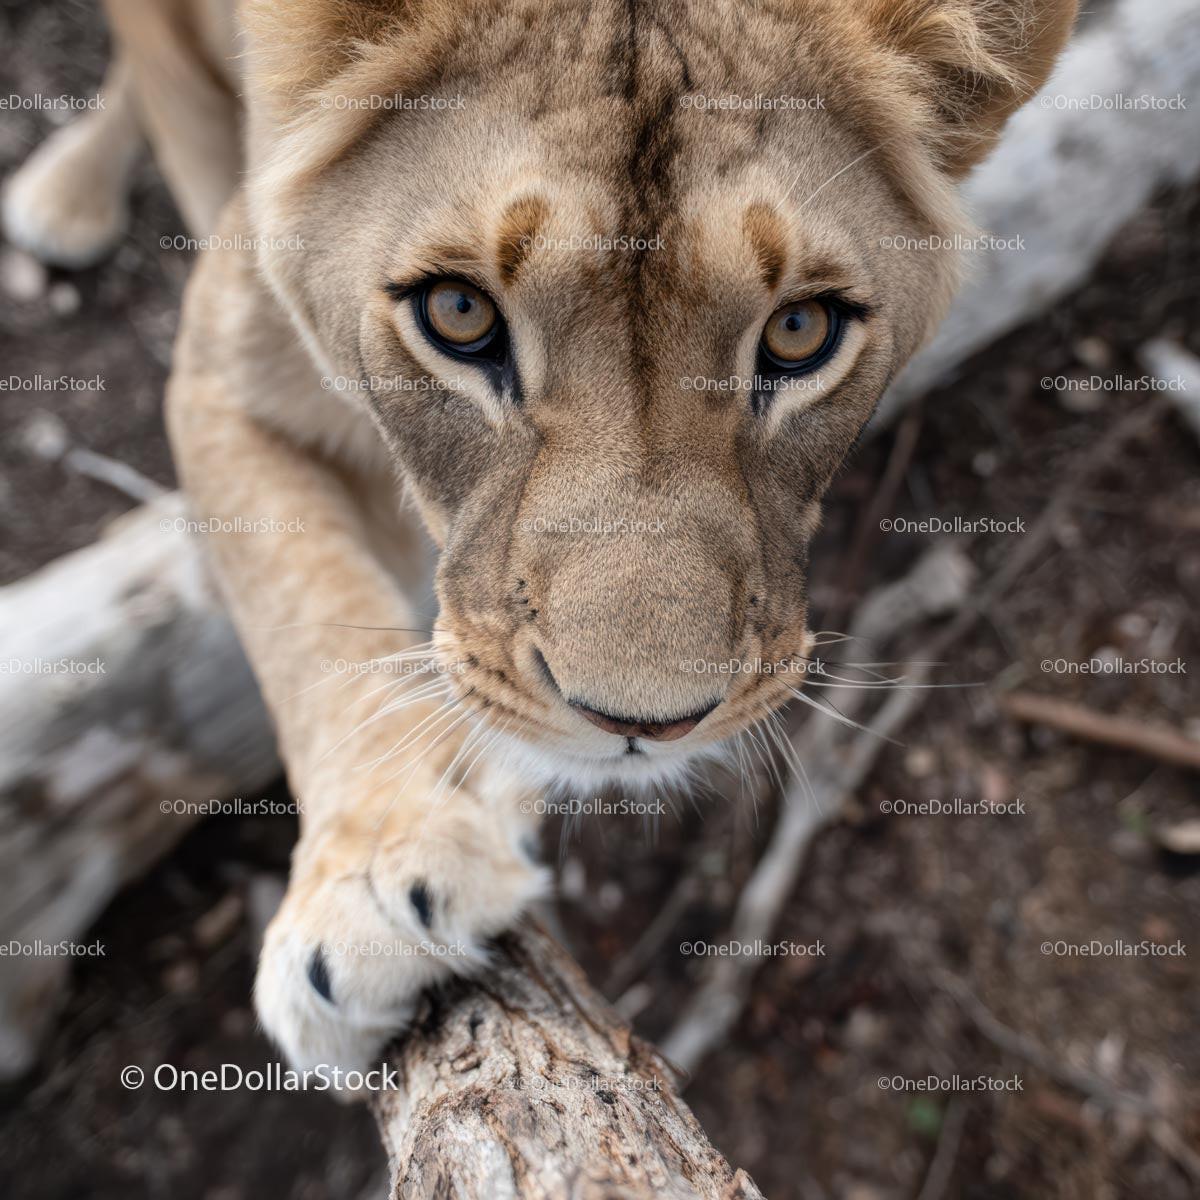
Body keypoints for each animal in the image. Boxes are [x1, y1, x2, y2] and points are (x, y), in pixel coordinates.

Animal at [4, 0, 1077, 1089]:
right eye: (459, 313)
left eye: (800, 331)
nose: (640, 722)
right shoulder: (220, 373)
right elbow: (304, 616)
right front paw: (378, 876)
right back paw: (66, 191)